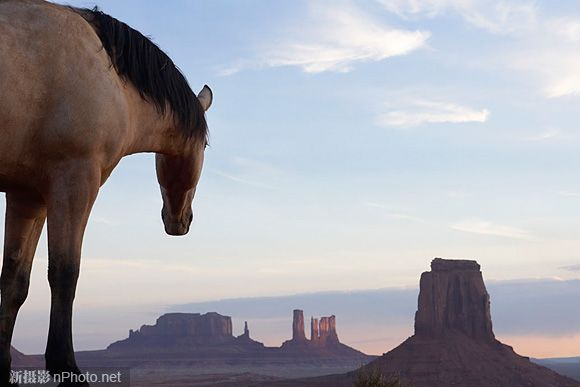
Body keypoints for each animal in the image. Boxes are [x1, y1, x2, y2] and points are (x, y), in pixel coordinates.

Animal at [0, 1, 213, 386]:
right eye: (204, 145)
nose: (181, 221)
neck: (113, 82)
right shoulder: (75, 182)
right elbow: (65, 273)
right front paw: (65, 366)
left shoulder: (27, 197)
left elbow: (14, 282)